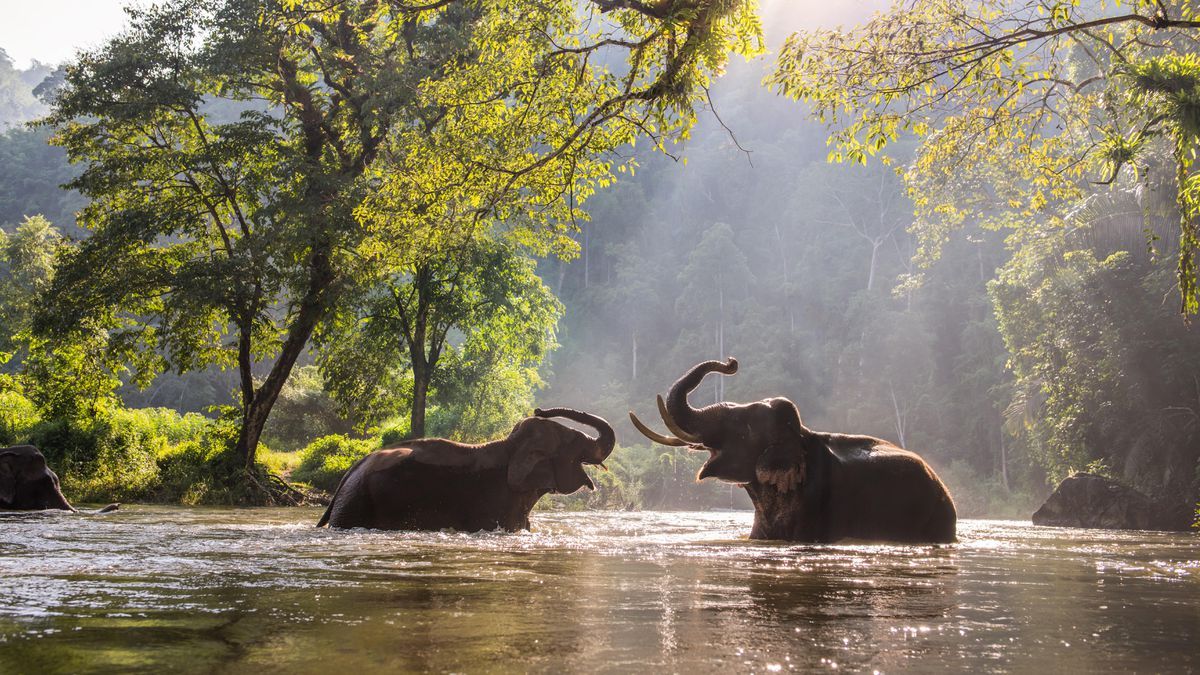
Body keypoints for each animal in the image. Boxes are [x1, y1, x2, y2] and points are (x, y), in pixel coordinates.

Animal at [317, 407, 615, 531]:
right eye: (574, 441)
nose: (539, 409)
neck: (510, 446)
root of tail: (349, 472)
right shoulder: (494, 501)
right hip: (356, 504)